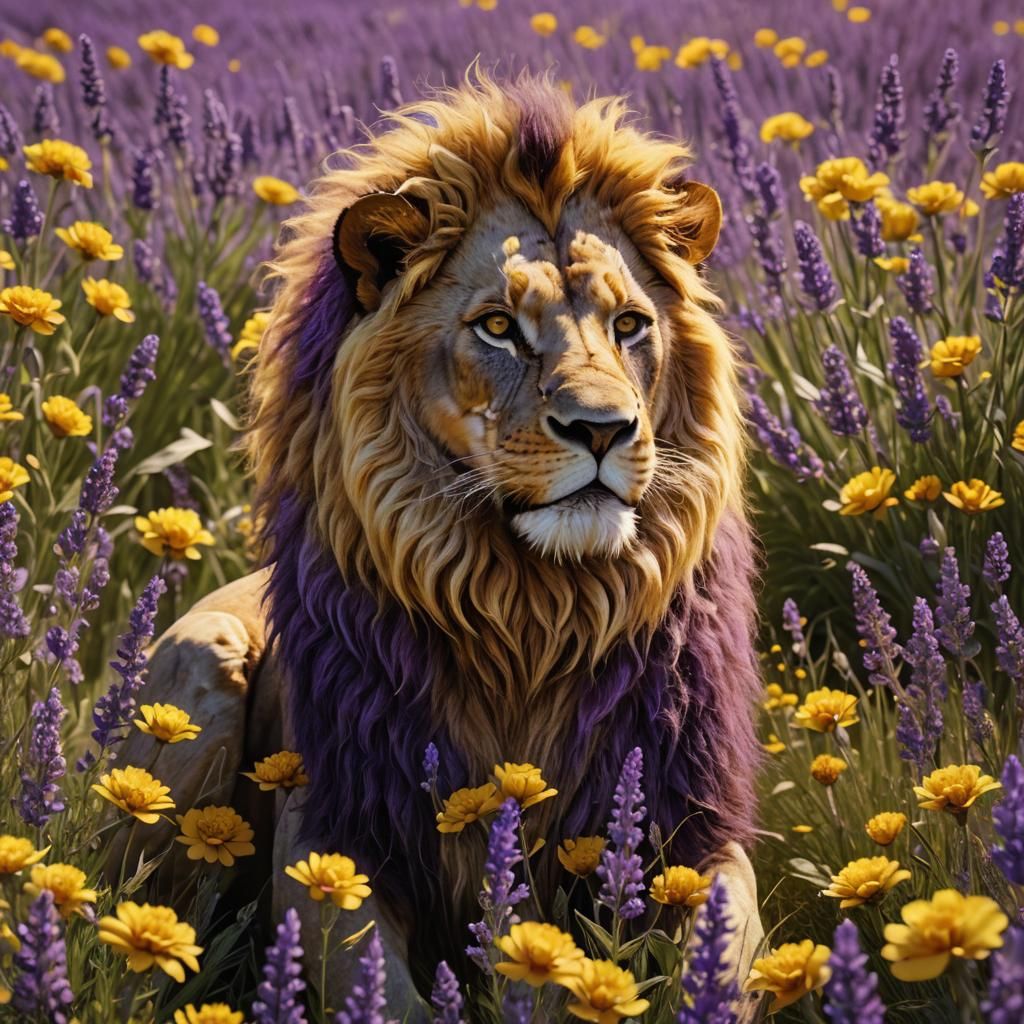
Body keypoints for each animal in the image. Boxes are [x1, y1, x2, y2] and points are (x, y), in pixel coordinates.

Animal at [113, 72, 764, 1016]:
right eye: (498, 327)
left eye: (630, 325)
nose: (604, 429)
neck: (533, 613)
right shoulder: (337, 835)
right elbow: (382, 992)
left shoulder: (693, 830)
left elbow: (723, 968)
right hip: (204, 660)